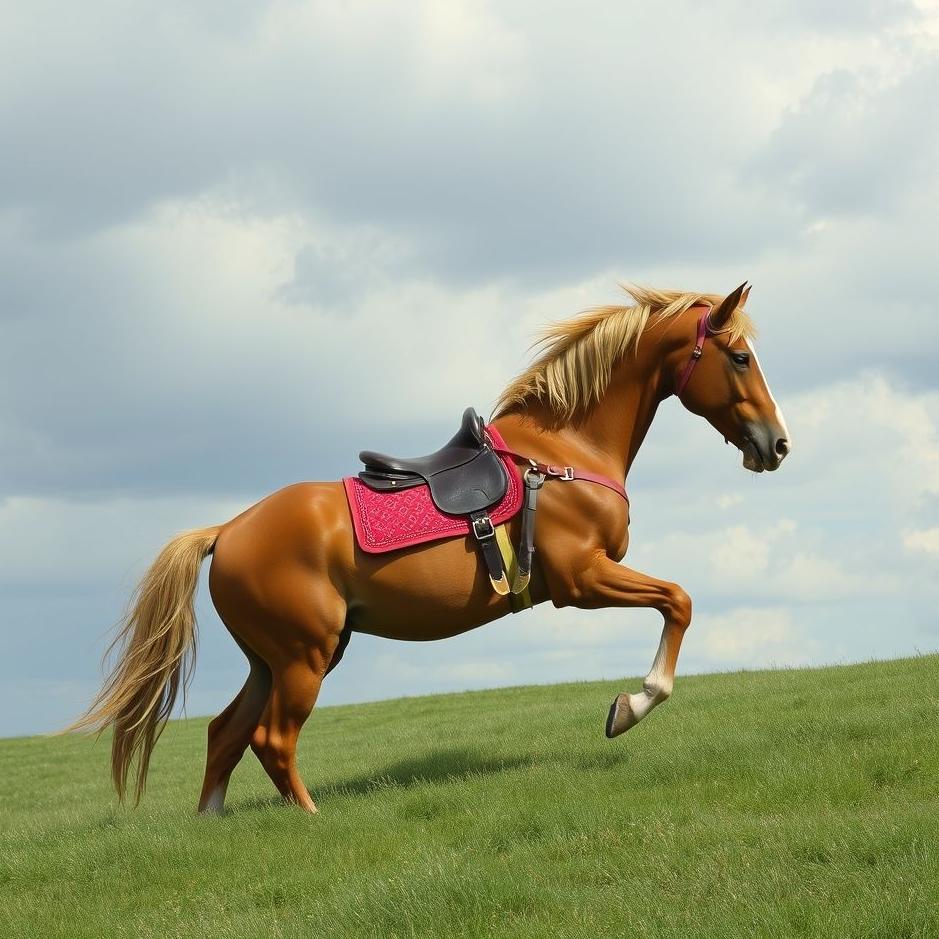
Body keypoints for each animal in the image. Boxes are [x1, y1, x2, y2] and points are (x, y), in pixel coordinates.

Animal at [68, 281, 790, 814]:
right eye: (739, 357)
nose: (777, 444)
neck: (562, 453)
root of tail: (227, 530)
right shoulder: (583, 580)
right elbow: (679, 601)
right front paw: (630, 706)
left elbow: (675, 602)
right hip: (303, 656)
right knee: (272, 738)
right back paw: (311, 818)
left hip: (274, 659)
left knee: (226, 734)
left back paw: (213, 822)